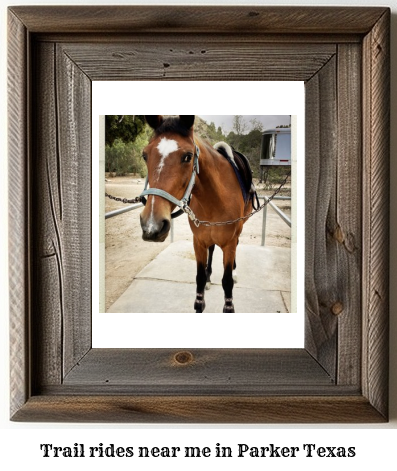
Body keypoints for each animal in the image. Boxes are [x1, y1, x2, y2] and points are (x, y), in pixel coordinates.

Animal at [139, 115, 254, 314]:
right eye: (145, 155)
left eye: (188, 156)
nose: (152, 226)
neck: (215, 199)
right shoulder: (199, 241)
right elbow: (199, 280)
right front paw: (205, 280)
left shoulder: (229, 243)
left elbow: (227, 282)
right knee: (212, 249)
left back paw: (235, 271)